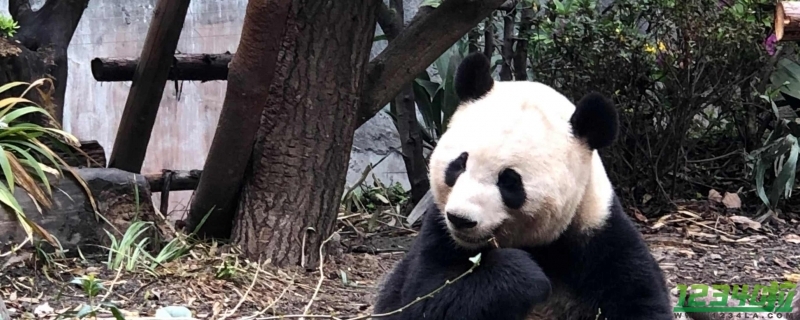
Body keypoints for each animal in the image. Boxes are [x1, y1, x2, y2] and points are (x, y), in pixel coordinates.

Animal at [372, 53, 672, 320]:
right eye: (459, 164)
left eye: (509, 181)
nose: (461, 219)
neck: (540, 247)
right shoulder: (438, 235)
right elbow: (420, 300)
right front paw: (526, 275)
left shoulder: (599, 238)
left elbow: (639, 299)